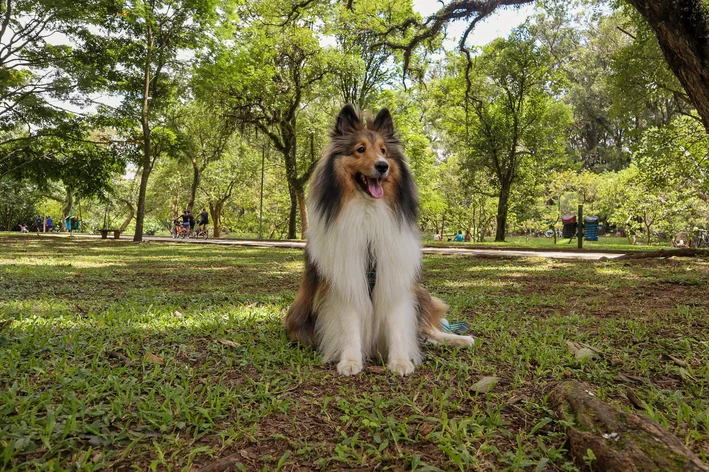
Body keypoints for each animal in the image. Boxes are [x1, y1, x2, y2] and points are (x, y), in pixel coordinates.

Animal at [284, 104, 476, 376]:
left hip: (418, 293)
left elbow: (397, 325)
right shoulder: (344, 281)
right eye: (360, 149)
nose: (383, 166)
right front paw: (350, 361)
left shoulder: (394, 277)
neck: (368, 215)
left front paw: (401, 361)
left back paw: (460, 339)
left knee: (427, 329)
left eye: (384, 151)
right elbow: (349, 325)